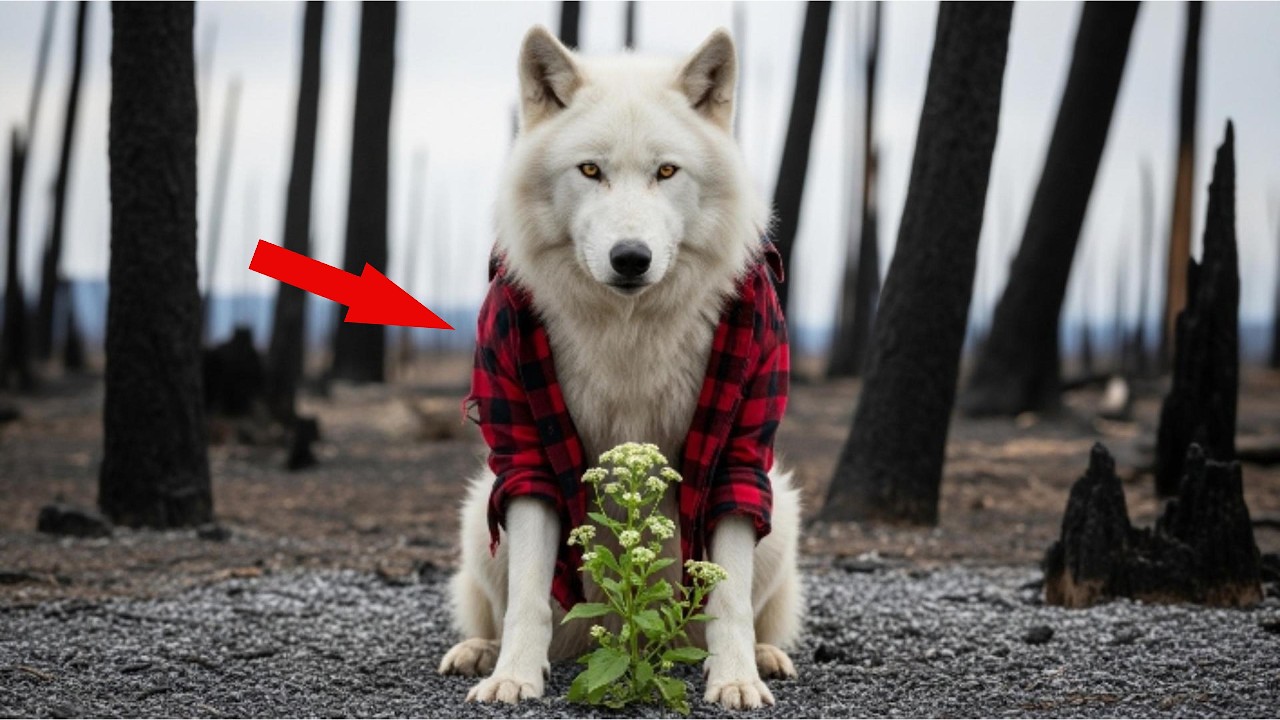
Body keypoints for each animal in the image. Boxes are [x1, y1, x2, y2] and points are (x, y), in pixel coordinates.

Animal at [438, 25, 802, 710]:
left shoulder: (740, 449)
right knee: (498, 607)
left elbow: (730, 597)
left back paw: (768, 656)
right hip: (480, 515)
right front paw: (513, 677)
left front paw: (737, 678)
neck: (628, 329)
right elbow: (528, 595)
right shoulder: (524, 450)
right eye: (590, 170)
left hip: (782, 514)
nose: (630, 258)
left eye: (666, 171)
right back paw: (480, 652)